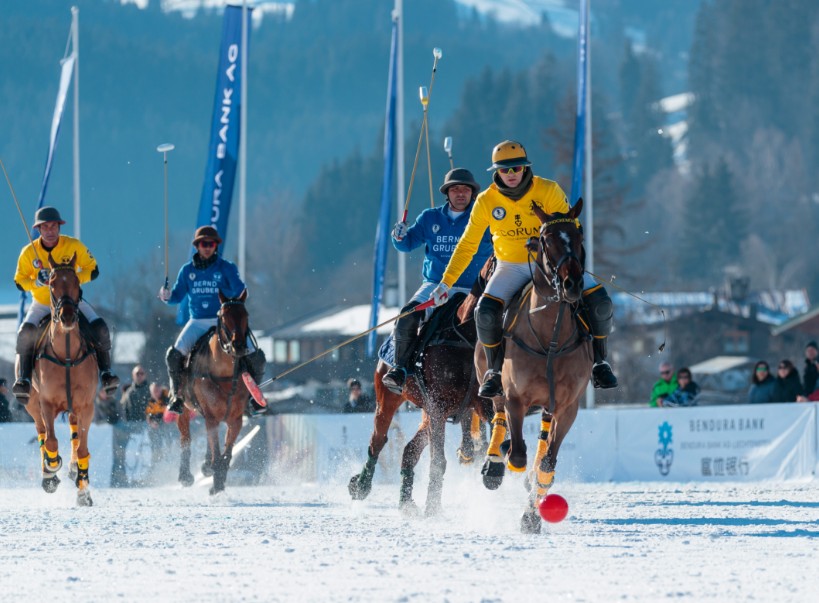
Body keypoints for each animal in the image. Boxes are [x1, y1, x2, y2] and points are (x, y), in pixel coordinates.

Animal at [23, 252, 98, 508]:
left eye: (76, 282)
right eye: (52, 283)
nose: (67, 316)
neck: (66, 354)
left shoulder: (86, 405)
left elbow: (83, 448)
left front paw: (83, 493)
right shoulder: (46, 403)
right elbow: (51, 442)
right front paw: (51, 470)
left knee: (74, 434)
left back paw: (75, 471)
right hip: (31, 404)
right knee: (41, 433)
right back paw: (48, 473)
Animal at [177, 290, 255, 494]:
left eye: (246, 315)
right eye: (223, 316)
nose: (239, 346)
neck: (225, 374)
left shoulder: (235, 419)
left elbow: (226, 455)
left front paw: (218, 481)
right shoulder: (211, 415)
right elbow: (217, 452)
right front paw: (216, 482)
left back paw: (206, 466)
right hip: (183, 406)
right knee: (185, 437)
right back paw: (185, 476)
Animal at [348, 294, 490, 516]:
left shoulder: (483, 404)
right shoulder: (438, 406)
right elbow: (438, 461)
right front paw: (433, 507)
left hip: (428, 412)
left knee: (409, 450)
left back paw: (406, 501)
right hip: (388, 399)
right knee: (378, 441)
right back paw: (361, 486)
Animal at [478, 199, 592, 532]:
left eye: (579, 236)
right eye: (546, 240)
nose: (572, 284)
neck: (550, 338)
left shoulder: (568, 406)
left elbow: (547, 465)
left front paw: (531, 516)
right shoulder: (516, 397)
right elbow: (518, 455)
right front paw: (506, 466)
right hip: (490, 379)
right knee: (498, 416)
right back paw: (493, 465)